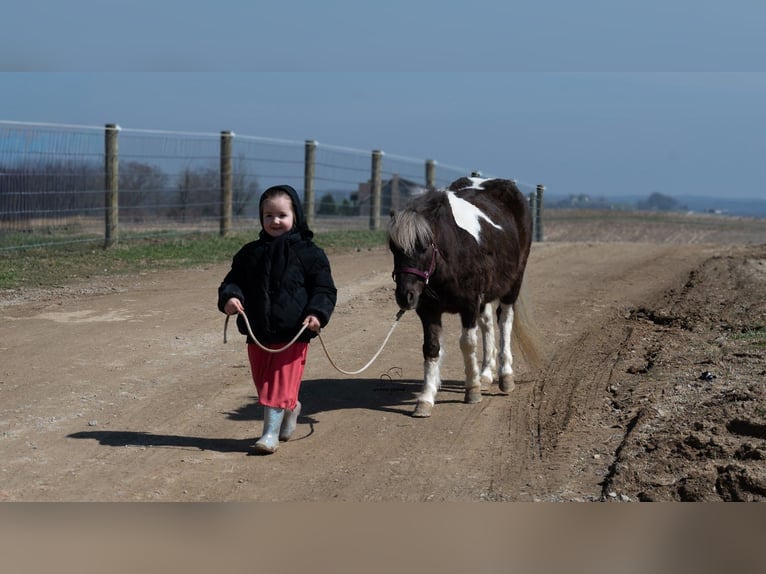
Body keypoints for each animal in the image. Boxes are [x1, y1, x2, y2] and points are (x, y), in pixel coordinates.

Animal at [388, 176, 538, 417]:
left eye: (424, 247)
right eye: (393, 248)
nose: (405, 296)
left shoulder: (468, 305)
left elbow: (467, 344)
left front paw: (472, 390)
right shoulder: (428, 310)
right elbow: (431, 348)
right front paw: (426, 399)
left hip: (513, 284)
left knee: (505, 321)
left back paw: (505, 376)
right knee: (487, 323)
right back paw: (485, 374)